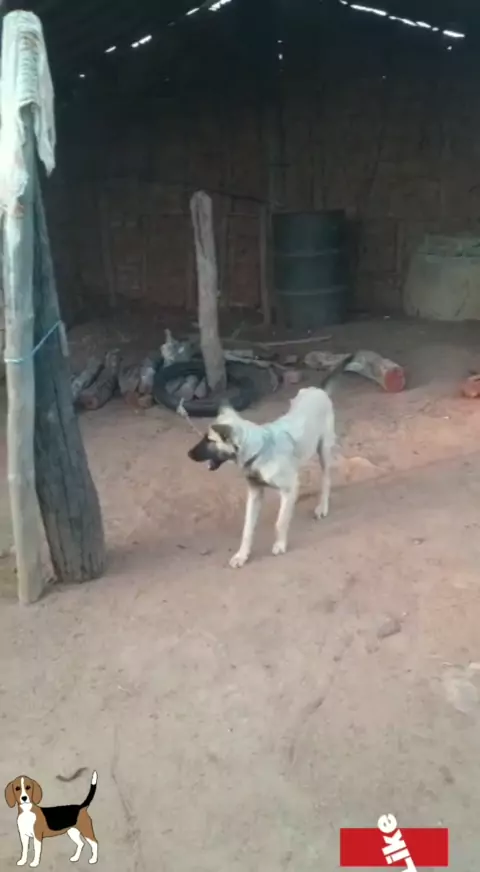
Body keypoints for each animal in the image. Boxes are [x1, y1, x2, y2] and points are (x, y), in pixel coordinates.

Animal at [188, 353, 353, 567]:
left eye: (209, 440)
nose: (189, 454)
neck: (258, 451)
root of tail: (318, 390)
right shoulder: (255, 493)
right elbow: (247, 529)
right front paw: (242, 555)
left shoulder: (288, 487)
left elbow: (280, 521)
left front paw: (280, 544)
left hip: (323, 449)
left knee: (326, 479)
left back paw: (322, 507)